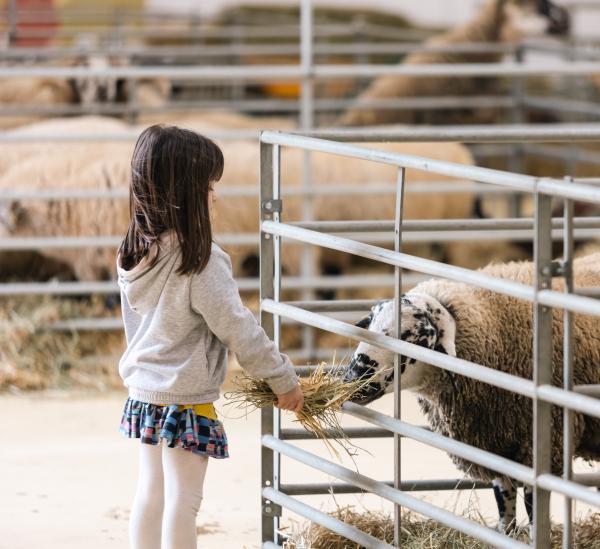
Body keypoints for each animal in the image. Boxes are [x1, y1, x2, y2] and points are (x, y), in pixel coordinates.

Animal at [342, 252, 600, 532]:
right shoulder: (490, 444)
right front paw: (505, 531)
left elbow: (533, 503)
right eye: (370, 325)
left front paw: (534, 534)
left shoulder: (544, 442)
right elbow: (504, 496)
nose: (354, 376)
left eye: (410, 336)